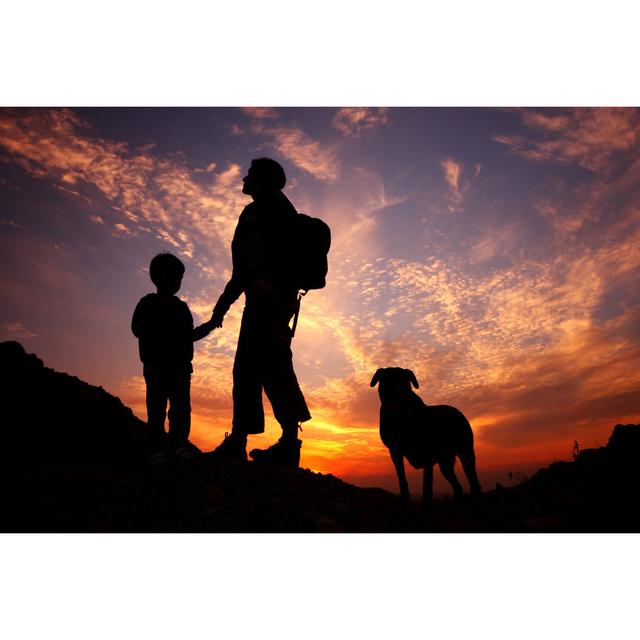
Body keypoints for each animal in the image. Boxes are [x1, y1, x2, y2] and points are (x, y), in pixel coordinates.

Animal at [370, 368, 480, 508]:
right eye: (386, 381)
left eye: (404, 382)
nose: (395, 394)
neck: (400, 416)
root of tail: (459, 412)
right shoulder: (395, 452)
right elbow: (402, 478)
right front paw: (404, 500)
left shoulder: (427, 454)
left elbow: (426, 484)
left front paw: (425, 505)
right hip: (445, 462)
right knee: (457, 486)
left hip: (465, 452)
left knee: (474, 482)